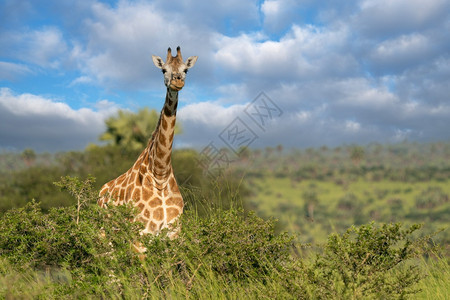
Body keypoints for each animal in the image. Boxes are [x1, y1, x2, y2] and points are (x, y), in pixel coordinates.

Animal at [99, 45, 198, 240]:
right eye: (163, 70)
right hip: (103, 233)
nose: (177, 82)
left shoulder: (174, 233)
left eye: (186, 70)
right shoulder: (141, 233)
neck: (160, 175)